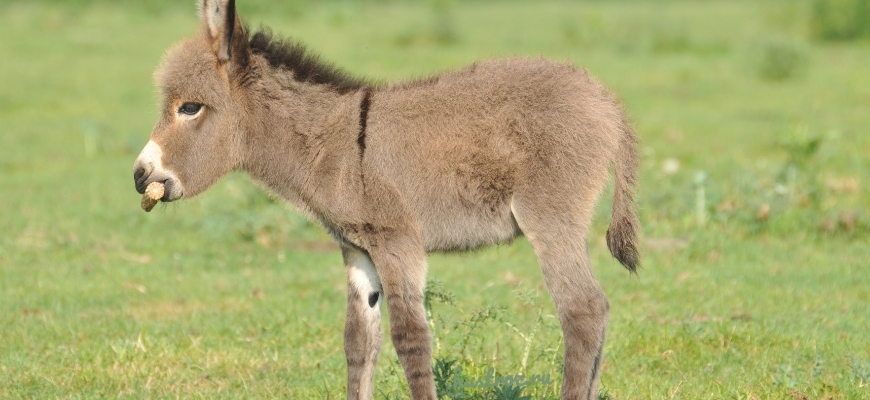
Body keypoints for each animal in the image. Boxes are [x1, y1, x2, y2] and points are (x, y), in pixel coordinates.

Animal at [133, 1, 644, 398]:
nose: (140, 177)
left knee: (582, 311)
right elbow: (359, 343)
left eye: (190, 108)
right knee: (594, 312)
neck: (335, 146)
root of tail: (607, 103)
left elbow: (410, 338)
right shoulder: (358, 249)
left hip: (550, 218)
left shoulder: (397, 241)